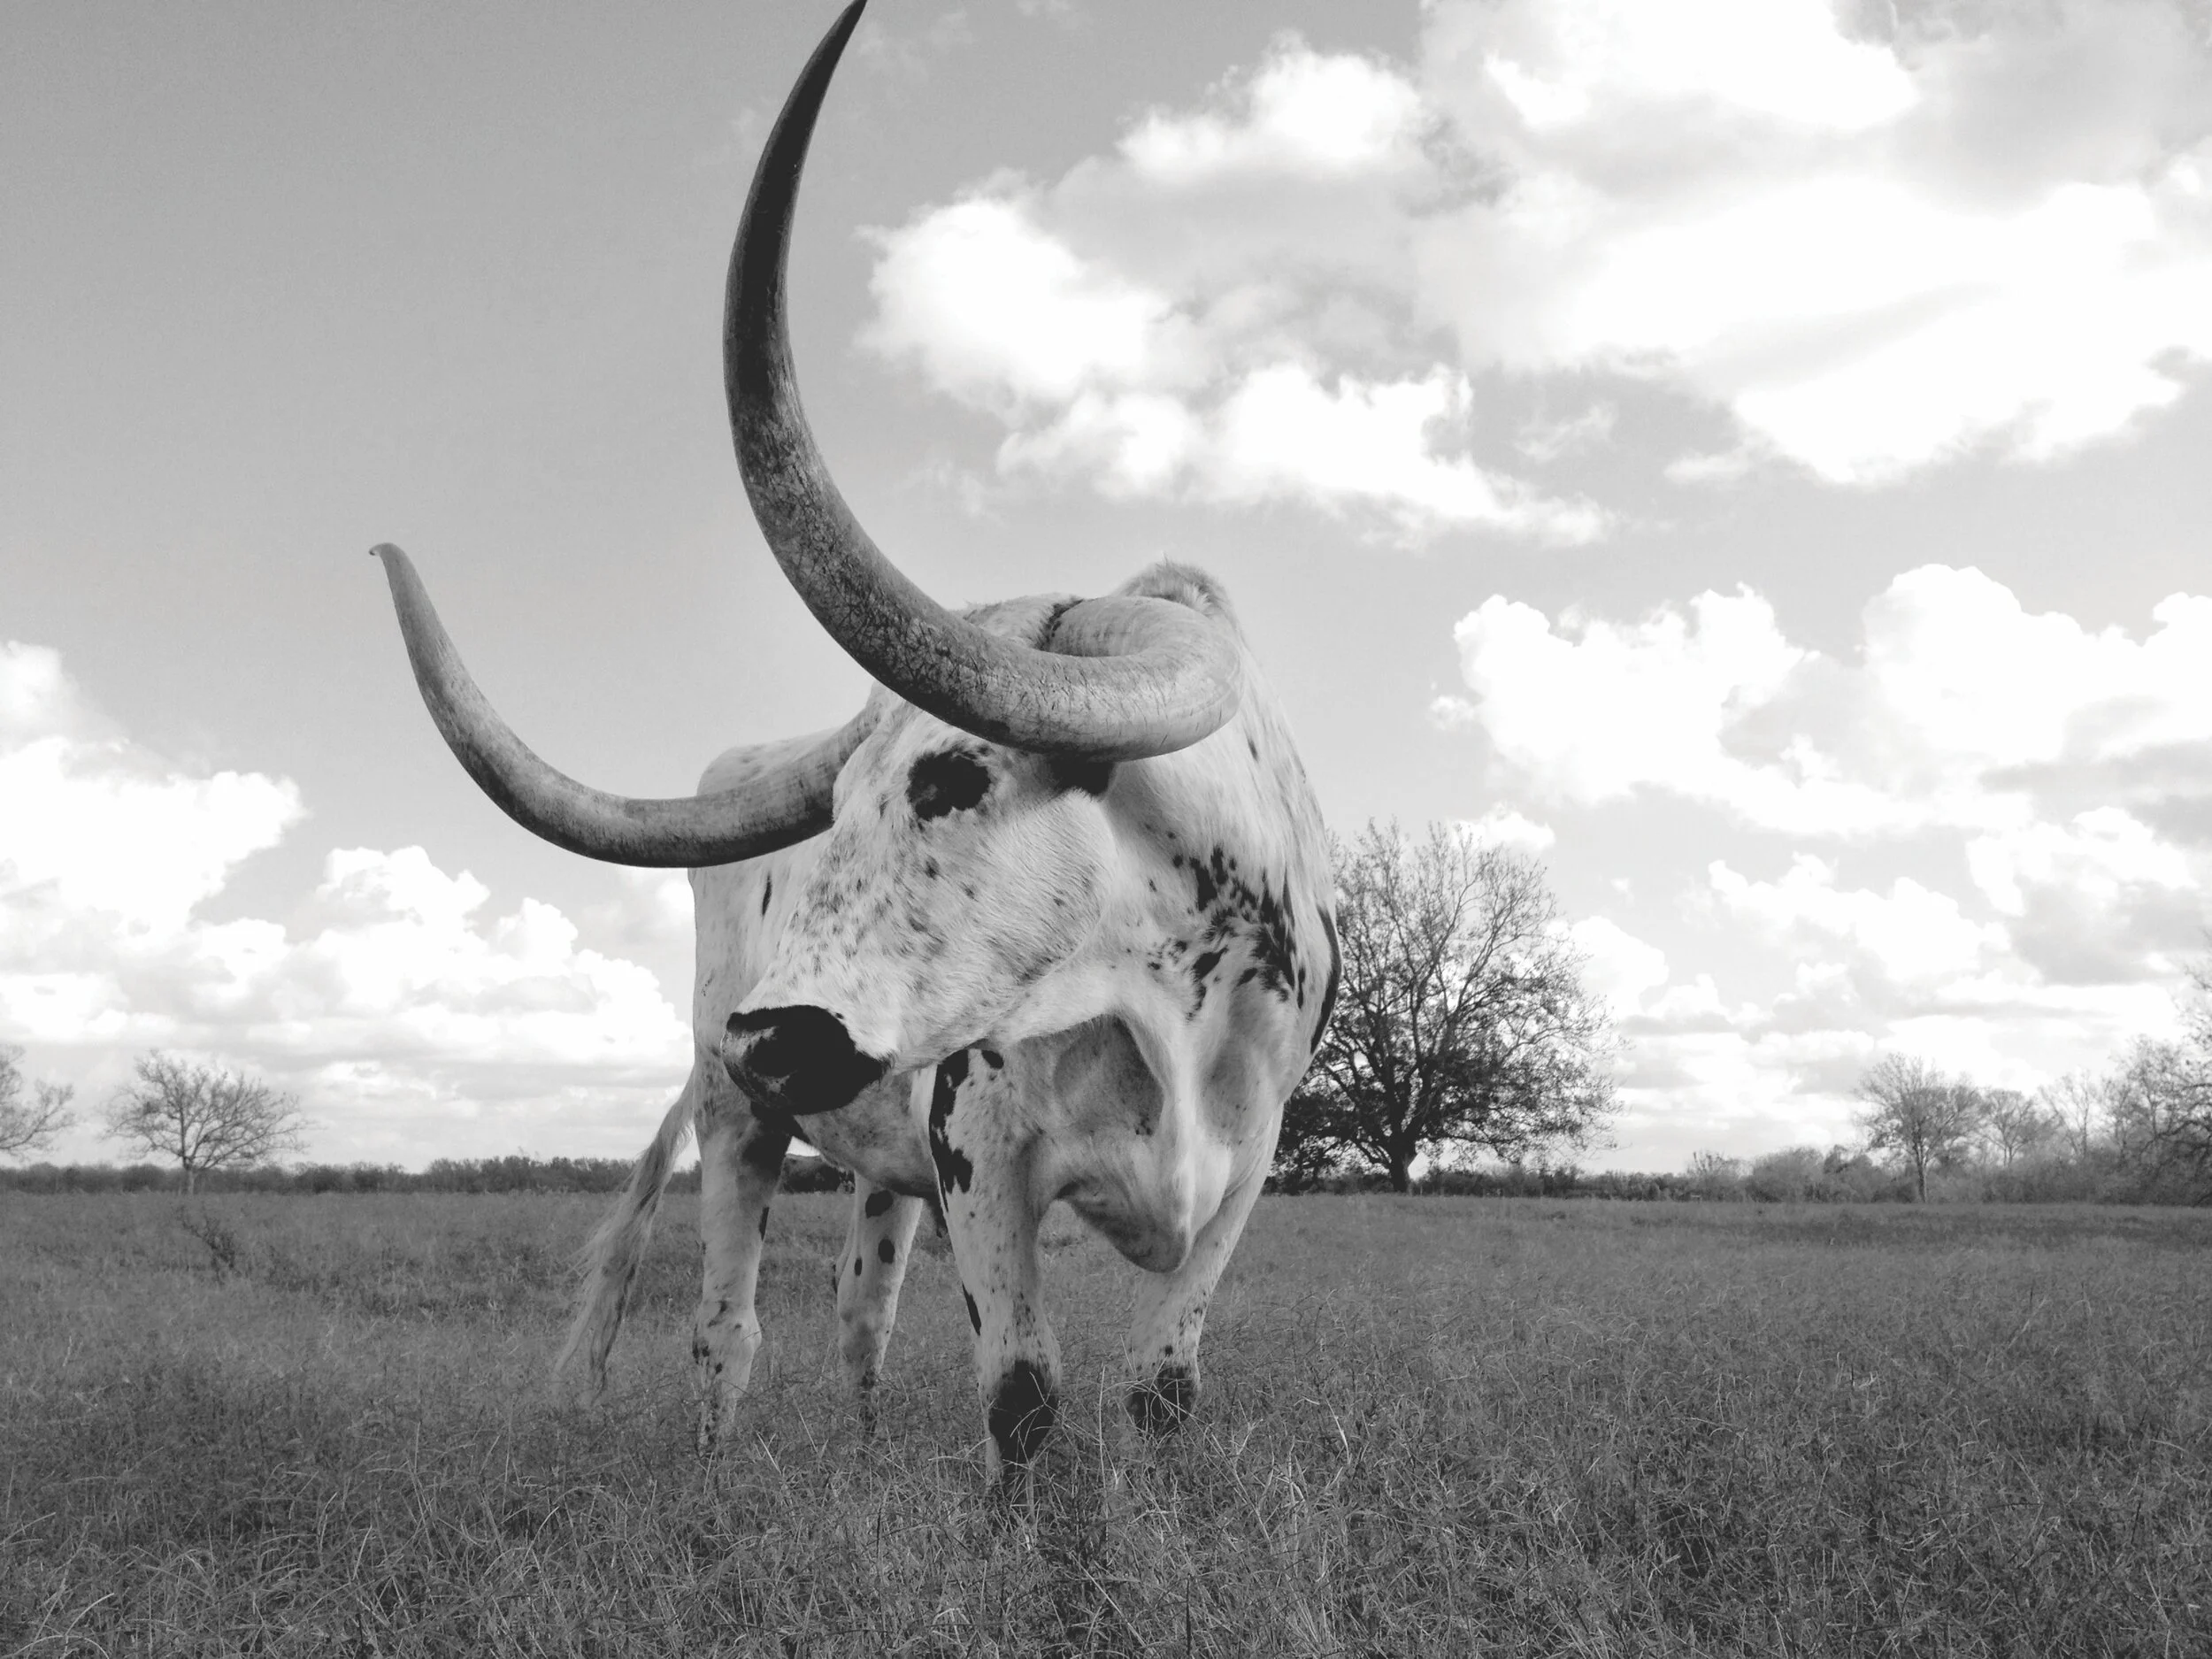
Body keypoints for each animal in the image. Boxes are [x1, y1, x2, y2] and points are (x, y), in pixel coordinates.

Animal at [370, 0, 1336, 1481]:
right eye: (834, 813)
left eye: (951, 776)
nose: (772, 1033)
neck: (1165, 991)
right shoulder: (983, 1152)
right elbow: (1023, 1397)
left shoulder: (1243, 1172)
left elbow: (1159, 1387)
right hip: (737, 1126)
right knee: (729, 1323)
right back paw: (715, 1467)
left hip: (875, 1162)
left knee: (861, 1313)